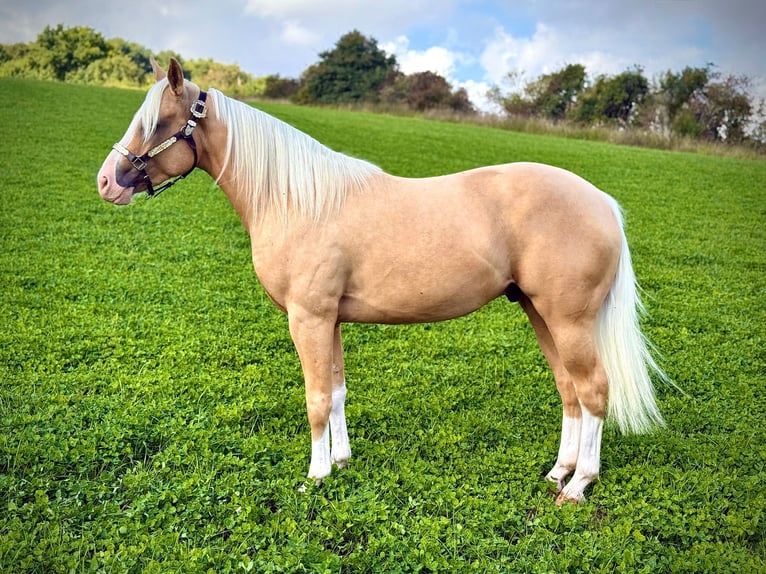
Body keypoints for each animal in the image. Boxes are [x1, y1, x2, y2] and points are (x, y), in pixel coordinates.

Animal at [97, 58, 666, 504]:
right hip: (538, 312)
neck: (298, 200)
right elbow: (338, 391)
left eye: (159, 122)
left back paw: (579, 485)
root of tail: (602, 203)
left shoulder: (308, 318)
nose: (106, 183)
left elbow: (316, 398)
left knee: (594, 390)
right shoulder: (330, 320)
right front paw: (341, 463)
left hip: (569, 321)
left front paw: (314, 476)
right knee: (569, 390)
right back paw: (558, 473)